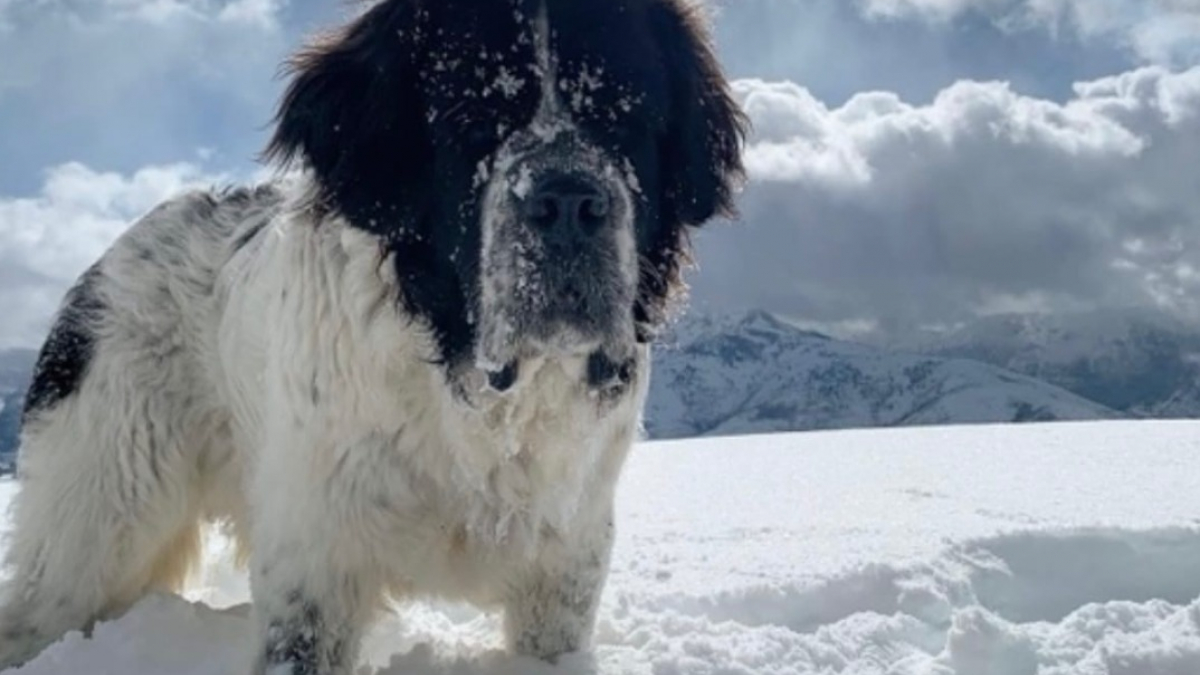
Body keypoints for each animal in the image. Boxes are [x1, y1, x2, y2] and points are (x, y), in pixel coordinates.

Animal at [0, 0, 744, 667]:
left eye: (627, 114)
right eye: (471, 118)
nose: (567, 201)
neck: (470, 391)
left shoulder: (564, 568)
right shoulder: (315, 564)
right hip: (97, 522)